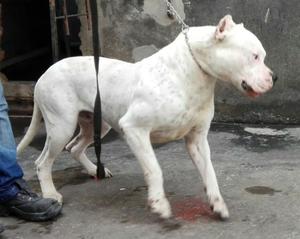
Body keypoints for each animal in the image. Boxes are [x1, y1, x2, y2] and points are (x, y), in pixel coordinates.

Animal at [16, 15, 276, 219]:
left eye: (262, 56)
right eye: (254, 56)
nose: (275, 77)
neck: (190, 73)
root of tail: (43, 75)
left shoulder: (197, 140)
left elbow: (209, 172)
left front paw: (217, 202)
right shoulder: (134, 129)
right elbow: (154, 169)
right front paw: (159, 204)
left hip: (97, 124)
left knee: (75, 147)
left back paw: (93, 170)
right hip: (61, 126)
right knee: (42, 162)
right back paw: (51, 194)